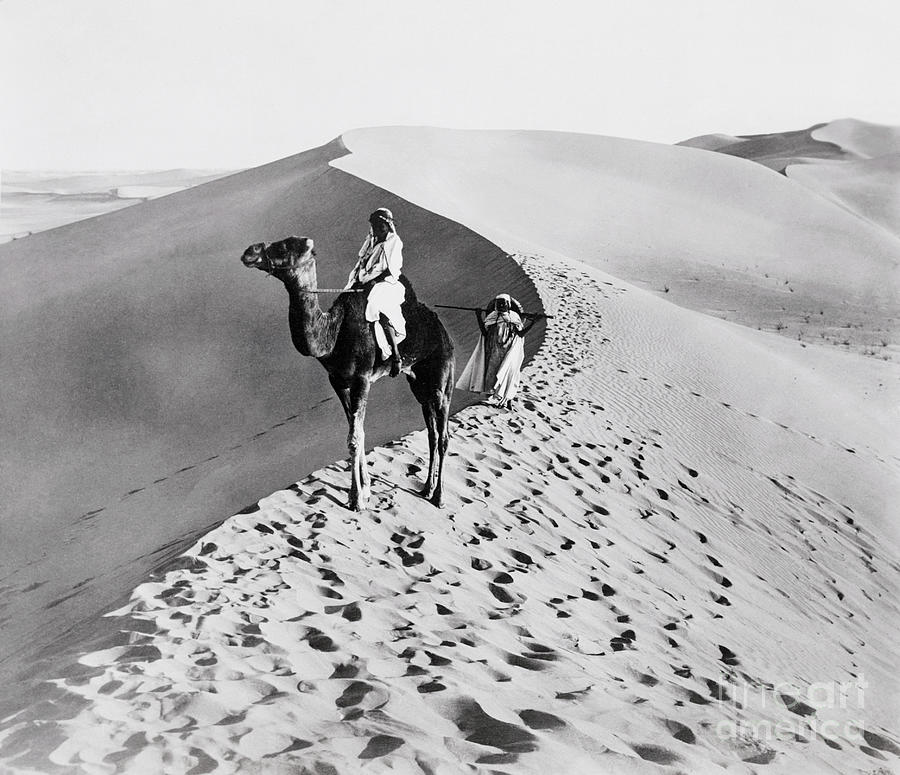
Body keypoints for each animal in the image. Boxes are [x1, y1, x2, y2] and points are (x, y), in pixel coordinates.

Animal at [241, 239, 454, 512]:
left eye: (286, 245)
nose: (251, 251)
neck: (334, 333)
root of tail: (443, 331)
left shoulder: (362, 378)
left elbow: (355, 437)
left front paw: (356, 500)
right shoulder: (338, 381)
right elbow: (356, 432)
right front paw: (365, 490)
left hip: (441, 376)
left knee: (443, 434)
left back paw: (439, 497)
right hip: (418, 383)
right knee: (432, 433)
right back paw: (426, 488)